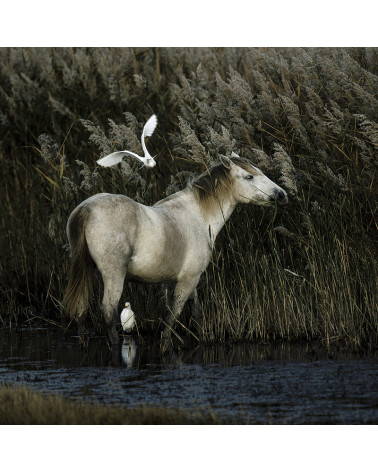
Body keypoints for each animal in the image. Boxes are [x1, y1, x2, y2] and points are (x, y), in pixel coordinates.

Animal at [62, 155, 288, 350]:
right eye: (250, 176)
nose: (282, 195)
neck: (199, 217)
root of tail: (87, 208)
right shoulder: (188, 279)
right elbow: (173, 316)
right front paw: (166, 346)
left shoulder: (188, 279)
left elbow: (195, 312)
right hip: (113, 275)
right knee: (108, 311)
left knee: (81, 310)